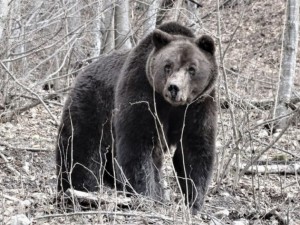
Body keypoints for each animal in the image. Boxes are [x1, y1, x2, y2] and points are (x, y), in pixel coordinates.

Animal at [55, 22, 217, 214]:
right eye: (167, 66)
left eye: (192, 68)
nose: (174, 87)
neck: (171, 106)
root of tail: (82, 72)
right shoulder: (141, 91)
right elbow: (138, 144)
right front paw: (146, 196)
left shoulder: (197, 107)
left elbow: (194, 151)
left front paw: (193, 203)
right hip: (92, 103)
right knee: (81, 148)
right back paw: (79, 191)